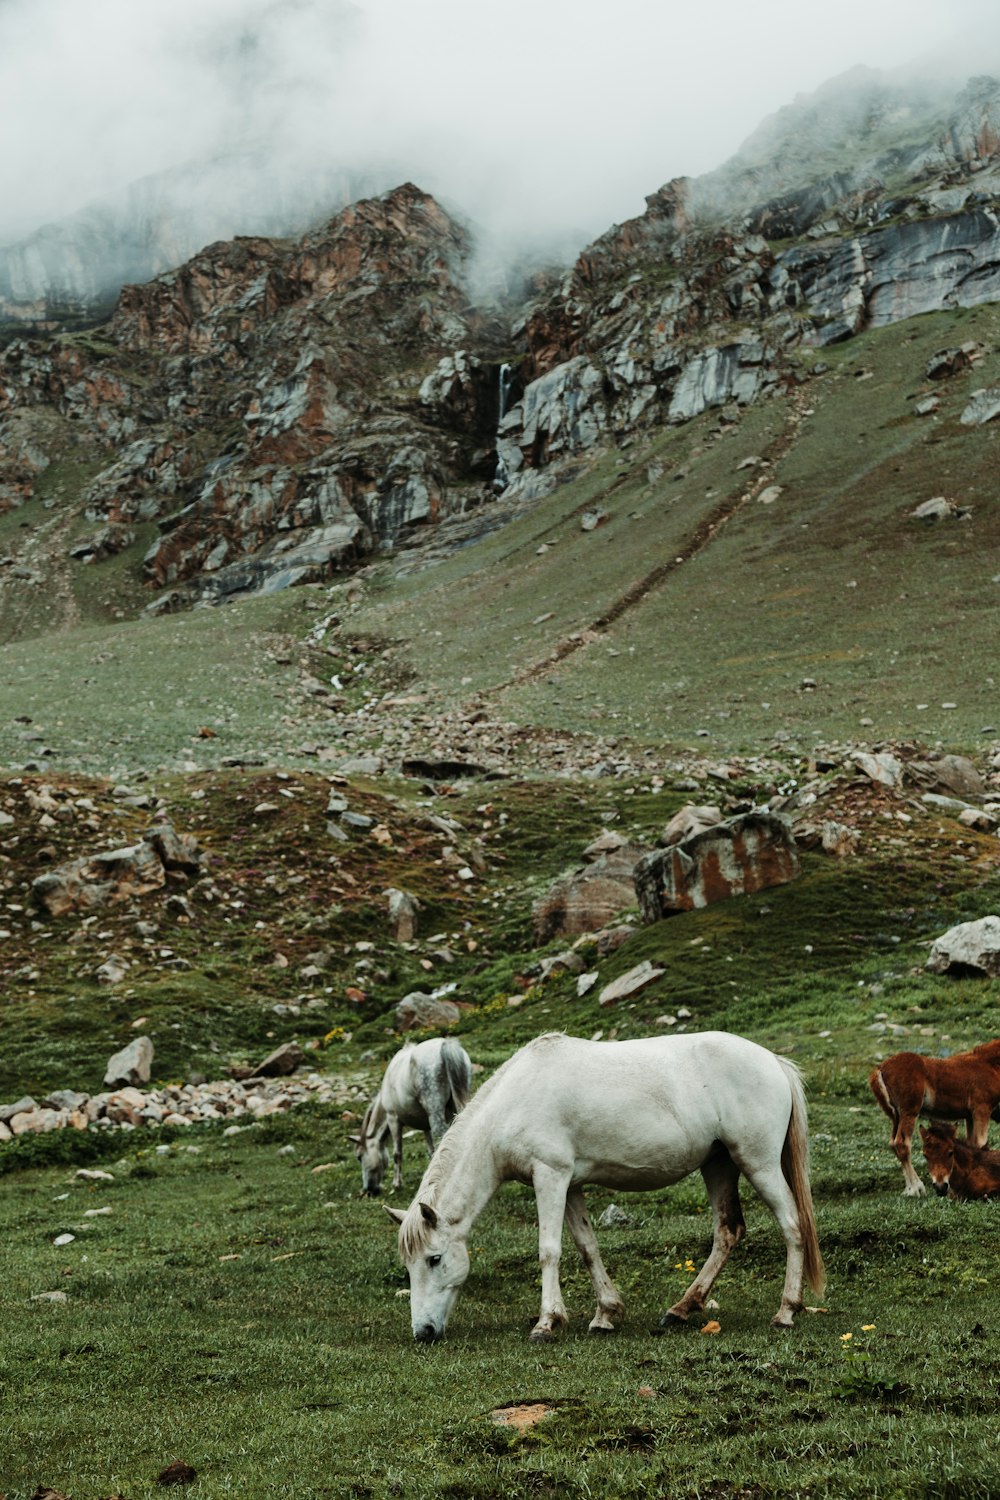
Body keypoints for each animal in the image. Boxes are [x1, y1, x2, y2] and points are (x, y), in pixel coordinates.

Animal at [353, 1044, 476, 1194]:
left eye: (359, 1156)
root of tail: (446, 1045)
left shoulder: (393, 1119)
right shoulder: (425, 1126)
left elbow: (397, 1154)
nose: (368, 1190)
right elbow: (431, 1150)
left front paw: (397, 1184)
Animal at [386, 1038, 827, 1344]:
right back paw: (681, 1309)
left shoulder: (550, 1176)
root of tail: (773, 1061)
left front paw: (546, 1323)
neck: (514, 1102)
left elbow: (549, 1250)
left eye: (434, 1259)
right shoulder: (571, 1185)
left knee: (792, 1226)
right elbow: (587, 1247)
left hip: (758, 1163)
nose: (423, 1332)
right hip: (718, 1164)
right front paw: (605, 1314)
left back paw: (786, 1311)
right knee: (728, 1231)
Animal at [869, 1044, 1000, 1194]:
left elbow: (971, 1144)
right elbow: (981, 1144)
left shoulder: (969, 1116)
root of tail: (880, 1069)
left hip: (895, 1116)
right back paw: (916, 1189)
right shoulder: (981, 1109)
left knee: (893, 1143)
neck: (989, 1065)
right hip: (909, 1112)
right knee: (902, 1144)